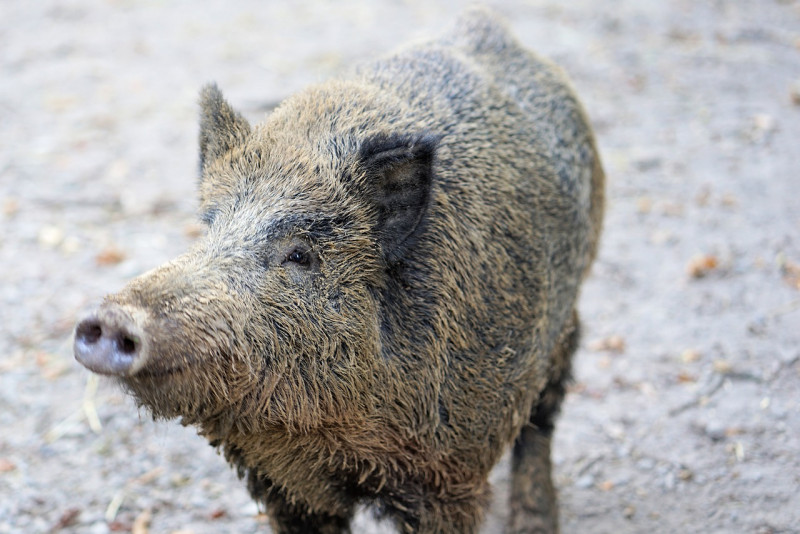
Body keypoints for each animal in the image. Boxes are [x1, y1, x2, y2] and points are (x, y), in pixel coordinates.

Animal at [74, 8, 604, 534]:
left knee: (544, 412)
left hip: (567, 311)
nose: (112, 318)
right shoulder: (284, 483)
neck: (328, 440)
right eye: (209, 227)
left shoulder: (452, 473)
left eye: (300, 255)